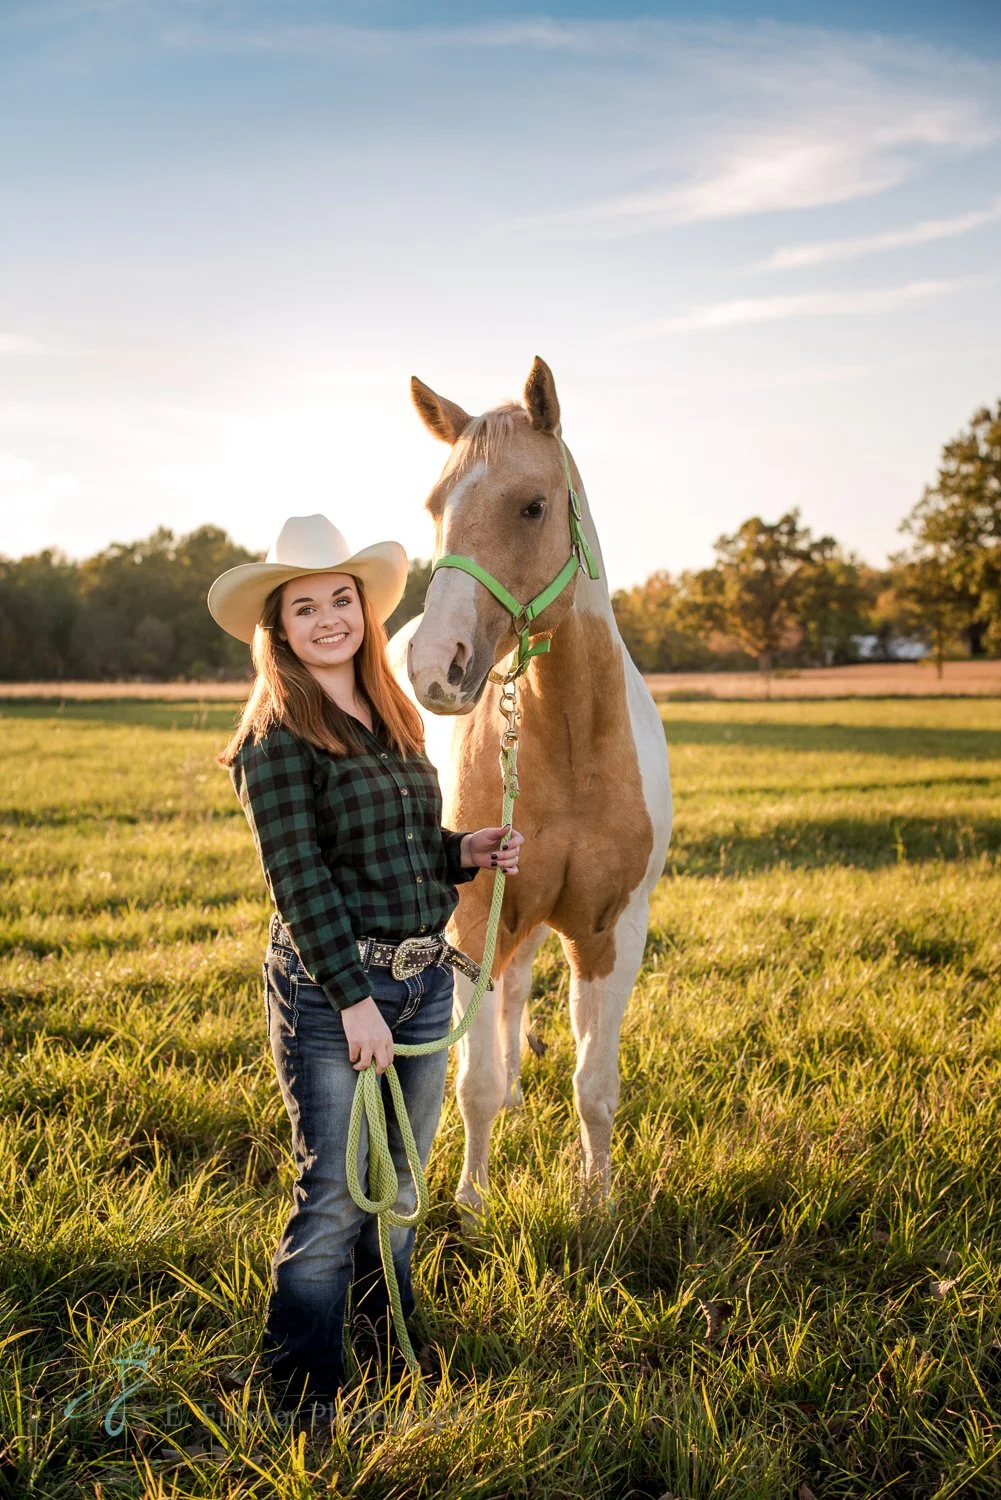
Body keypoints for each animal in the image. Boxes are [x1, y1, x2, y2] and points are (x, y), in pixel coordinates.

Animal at [386, 356, 672, 1221]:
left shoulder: (612, 933)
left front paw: (598, 1200)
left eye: (532, 505)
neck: (573, 745)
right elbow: (472, 1083)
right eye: (435, 506)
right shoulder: (474, 918)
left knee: (514, 990)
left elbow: (595, 1086)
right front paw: (473, 1202)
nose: (434, 667)